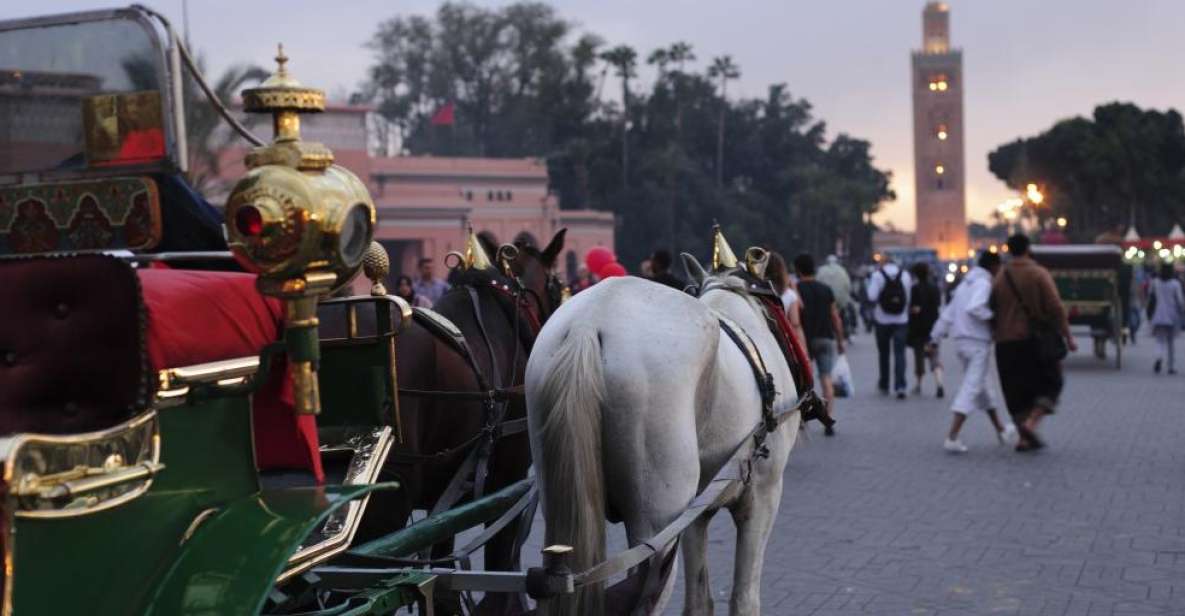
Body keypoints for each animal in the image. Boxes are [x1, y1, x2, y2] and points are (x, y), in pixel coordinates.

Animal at [530, 247, 801, 611]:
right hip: (657, 523)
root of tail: (588, 323)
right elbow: (744, 598)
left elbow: (699, 599)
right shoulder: (763, 495)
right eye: (776, 297)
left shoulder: (696, 511)